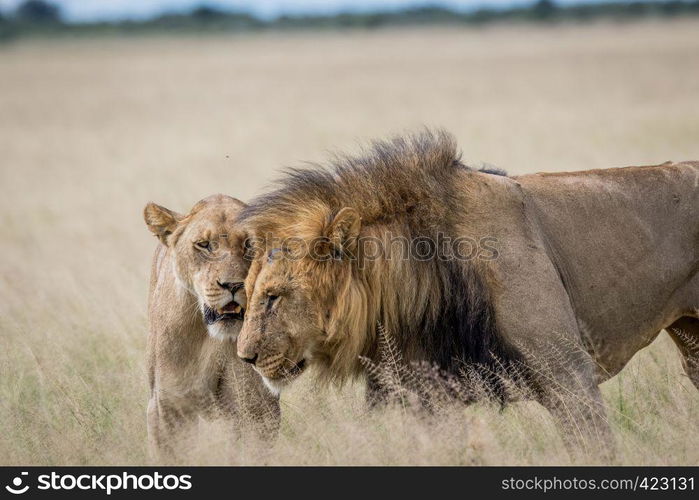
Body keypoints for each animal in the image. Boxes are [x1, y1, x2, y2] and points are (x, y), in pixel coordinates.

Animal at [144, 194, 280, 458]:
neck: (212, 338)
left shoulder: (257, 406)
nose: (234, 285)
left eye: (250, 244)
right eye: (204, 245)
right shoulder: (170, 405)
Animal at [237, 131, 699, 456]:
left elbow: (594, 450)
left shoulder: (569, 374)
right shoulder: (430, 397)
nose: (245, 357)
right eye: (248, 291)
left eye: (275, 296)